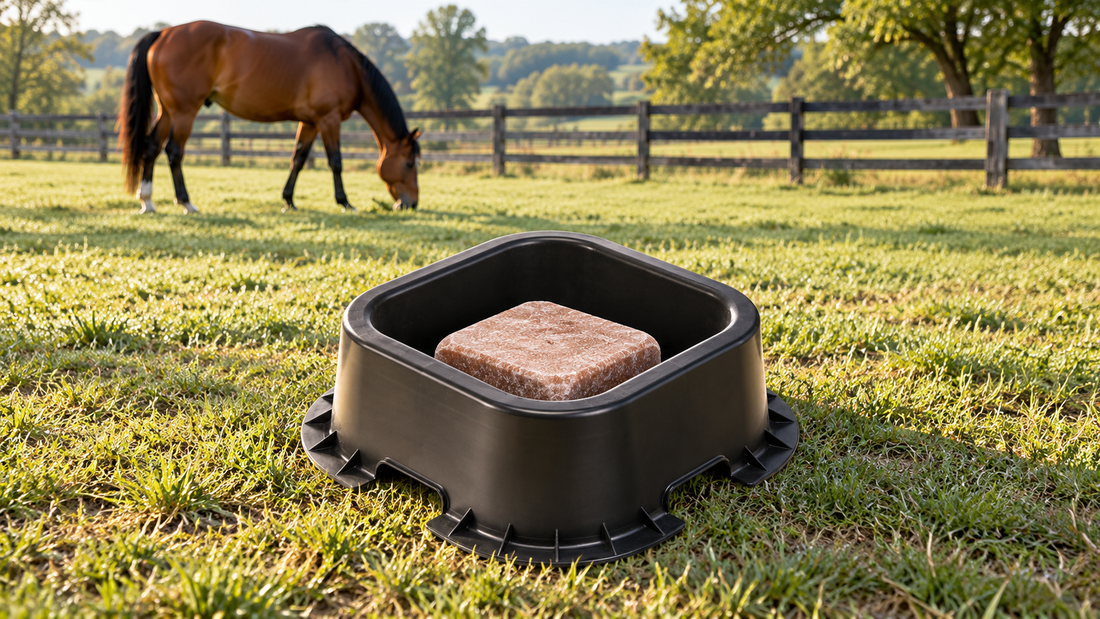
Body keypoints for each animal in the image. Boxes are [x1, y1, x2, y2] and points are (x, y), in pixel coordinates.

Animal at [118, 21, 421, 214]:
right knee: (173, 151)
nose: (410, 203)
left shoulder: (310, 122)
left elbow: (298, 159)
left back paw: (147, 201)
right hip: (184, 111)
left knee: (151, 147)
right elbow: (335, 162)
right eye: (409, 163)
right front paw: (345, 202)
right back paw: (185, 202)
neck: (346, 65)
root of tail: (163, 33)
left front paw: (289, 201)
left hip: (168, 110)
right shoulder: (329, 119)